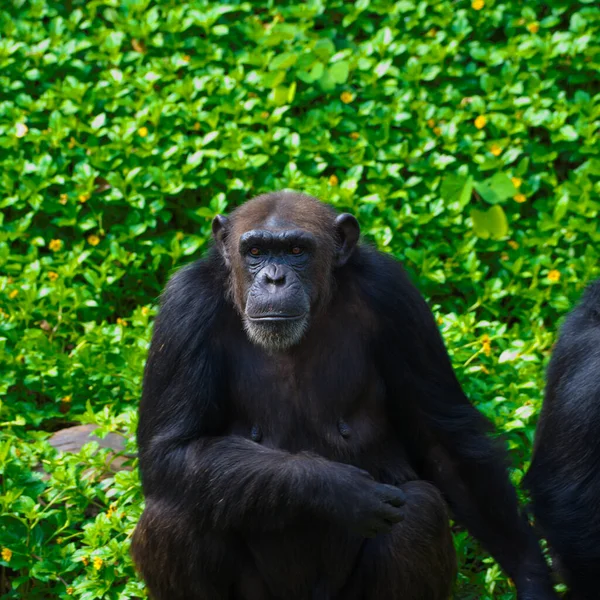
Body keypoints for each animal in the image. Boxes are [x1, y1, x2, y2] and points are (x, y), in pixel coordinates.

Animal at [132, 191, 556, 600]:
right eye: (254, 251)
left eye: (296, 250)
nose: (273, 279)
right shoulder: (186, 308)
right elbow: (171, 448)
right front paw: (338, 489)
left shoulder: (395, 294)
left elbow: (445, 443)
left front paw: (532, 576)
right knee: (177, 513)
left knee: (419, 511)